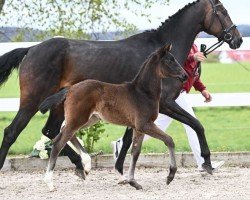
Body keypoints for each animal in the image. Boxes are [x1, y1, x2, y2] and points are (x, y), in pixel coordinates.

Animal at [0, 0, 242, 176]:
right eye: (223, 11)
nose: (237, 39)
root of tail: (31, 49)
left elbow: (128, 138)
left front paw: (119, 167)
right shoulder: (164, 103)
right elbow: (196, 124)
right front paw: (208, 163)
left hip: (59, 103)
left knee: (51, 131)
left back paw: (81, 164)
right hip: (32, 101)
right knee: (13, 131)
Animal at [39, 43, 188, 191]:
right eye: (170, 60)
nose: (185, 75)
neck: (143, 93)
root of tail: (70, 89)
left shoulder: (138, 128)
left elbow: (135, 152)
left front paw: (133, 182)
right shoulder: (144, 124)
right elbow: (169, 140)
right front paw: (170, 175)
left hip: (89, 119)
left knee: (65, 132)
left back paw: (86, 165)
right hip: (78, 119)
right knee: (58, 142)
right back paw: (50, 182)